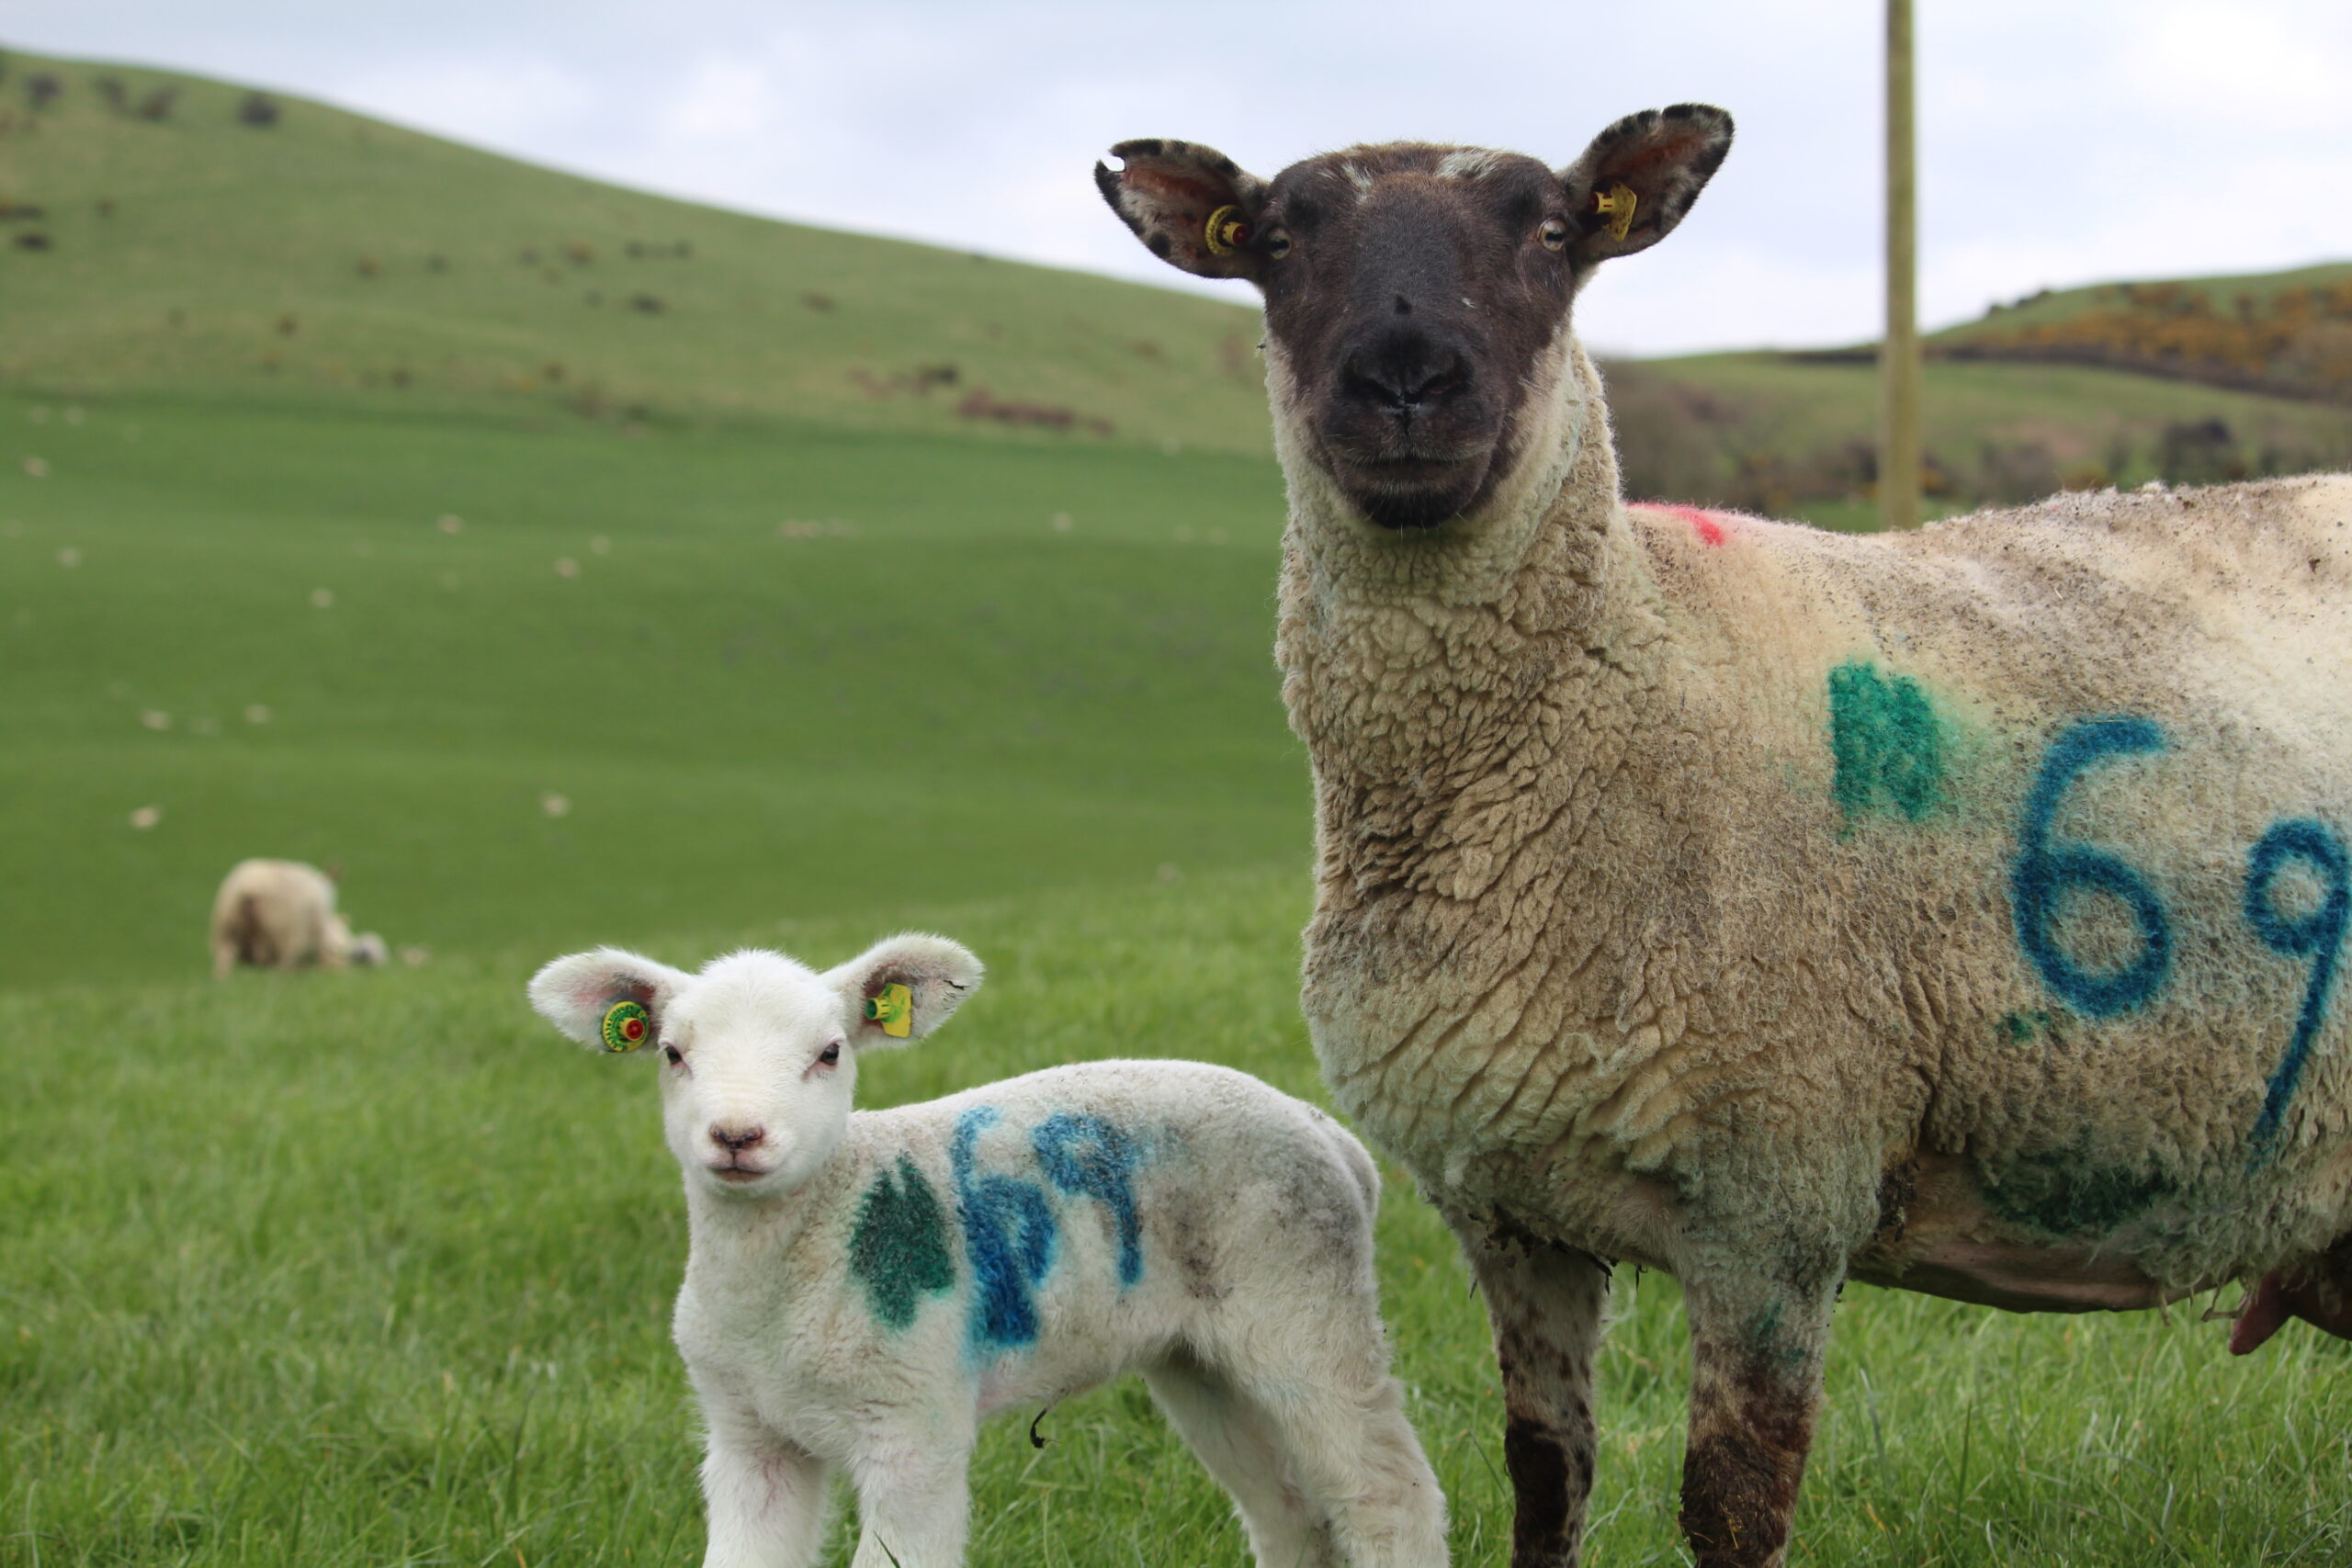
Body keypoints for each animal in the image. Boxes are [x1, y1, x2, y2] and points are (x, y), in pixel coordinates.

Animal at [531, 931, 1439, 1568]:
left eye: (830, 1052)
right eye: (672, 1052)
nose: (737, 1135)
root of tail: (1333, 1138)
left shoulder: (914, 1418)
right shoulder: (747, 1432)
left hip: (1305, 1305)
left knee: (1390, 1495)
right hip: (1202, 1358)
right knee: (1289, 1514)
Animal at [1101, 110, 2352, 1568]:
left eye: (1552, 232)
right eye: (1276, 241)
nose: (1407, 379)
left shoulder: (1776, 1193)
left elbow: (1735, 1501)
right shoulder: (1508, 1208)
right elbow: (1544, 1473)